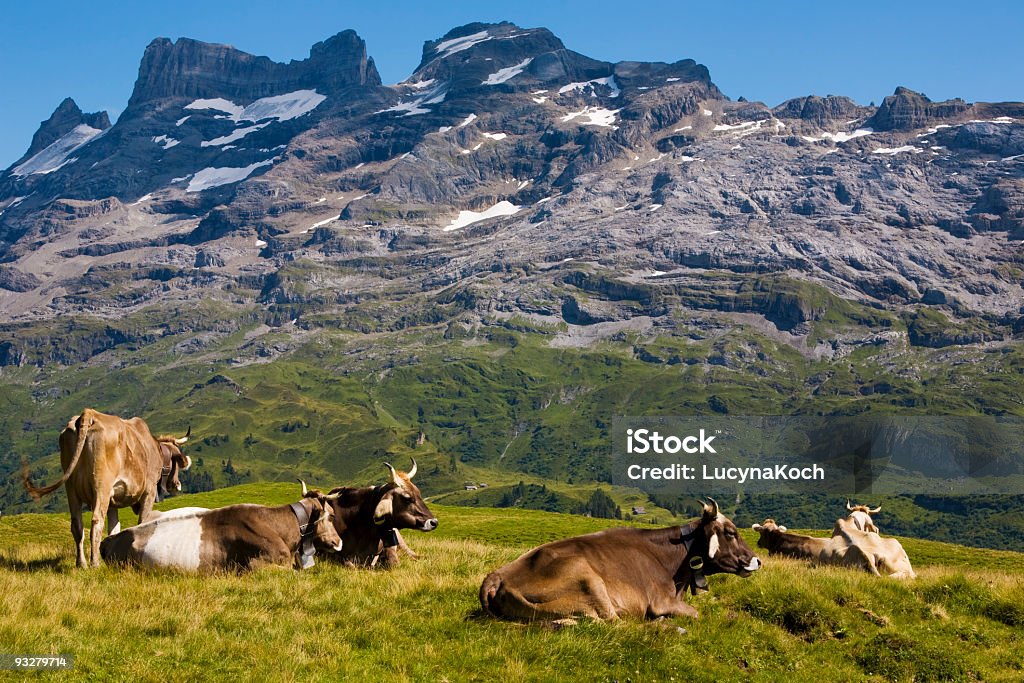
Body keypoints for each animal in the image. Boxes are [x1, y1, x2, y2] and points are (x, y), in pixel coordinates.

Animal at [22, 409, 192, 569]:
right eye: (177, 463)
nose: (177, 484)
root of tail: (89, 414)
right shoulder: (148, 492)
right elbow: (141, 522)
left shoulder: (112, 502)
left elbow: (114, 529)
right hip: (101, 486)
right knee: (96, 521)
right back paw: (94, 563)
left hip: (71, 489)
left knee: (77, 525)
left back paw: (81, 563)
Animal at [479, 497, 761, 626]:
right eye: (731, 532)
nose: (757, 561)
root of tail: (496, 575)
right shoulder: (661, 600)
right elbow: (697, 613)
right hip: (588, 578)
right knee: (615, 623)